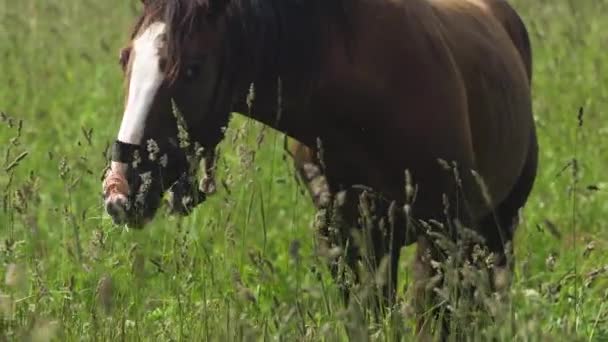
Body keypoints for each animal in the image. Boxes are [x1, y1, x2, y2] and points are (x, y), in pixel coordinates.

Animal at [103, 0, 536, 336]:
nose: (120, 191)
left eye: (192, 68)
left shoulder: (441, 234)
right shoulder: (348, 241)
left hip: (496, 228)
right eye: (125, 58)